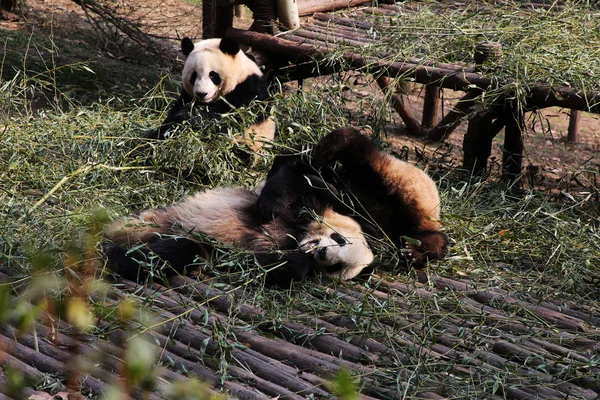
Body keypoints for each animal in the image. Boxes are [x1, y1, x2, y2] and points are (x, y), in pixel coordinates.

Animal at [104, 184, 376, 288]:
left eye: (335, 267)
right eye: (340, 239)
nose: (322, 253)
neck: (294, 238)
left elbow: (262, 264)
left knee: (177, 251)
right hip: (158, 219)